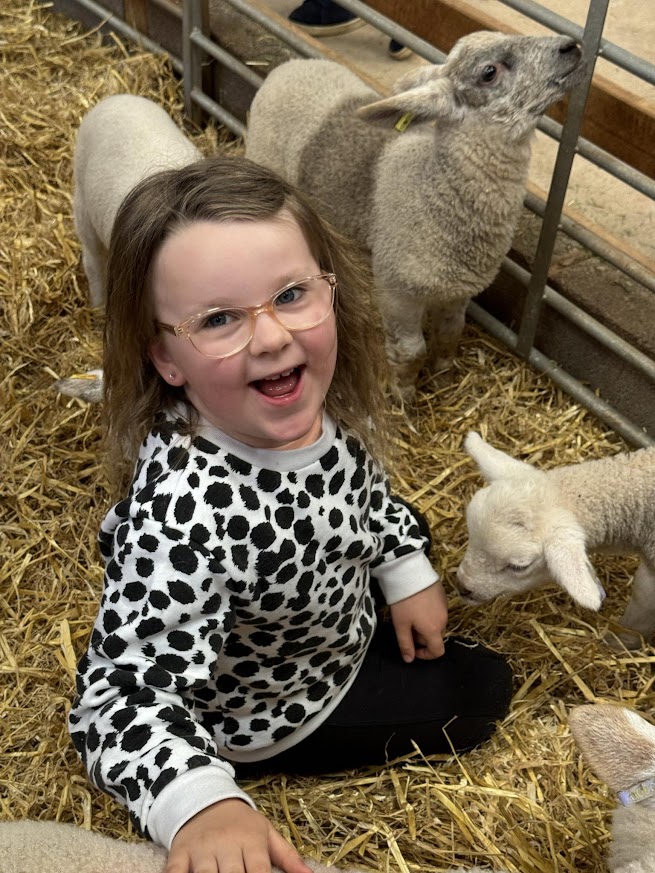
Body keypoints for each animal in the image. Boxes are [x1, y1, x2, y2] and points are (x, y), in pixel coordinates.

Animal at [245, 31, 584, 398]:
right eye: (489, 72)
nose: (571, 46)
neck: (433, 185)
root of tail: (289, 66)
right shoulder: (397, 290)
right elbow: (411, 351)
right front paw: (404, 395)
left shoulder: (458, 290)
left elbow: (451, 333)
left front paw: (444, 379)